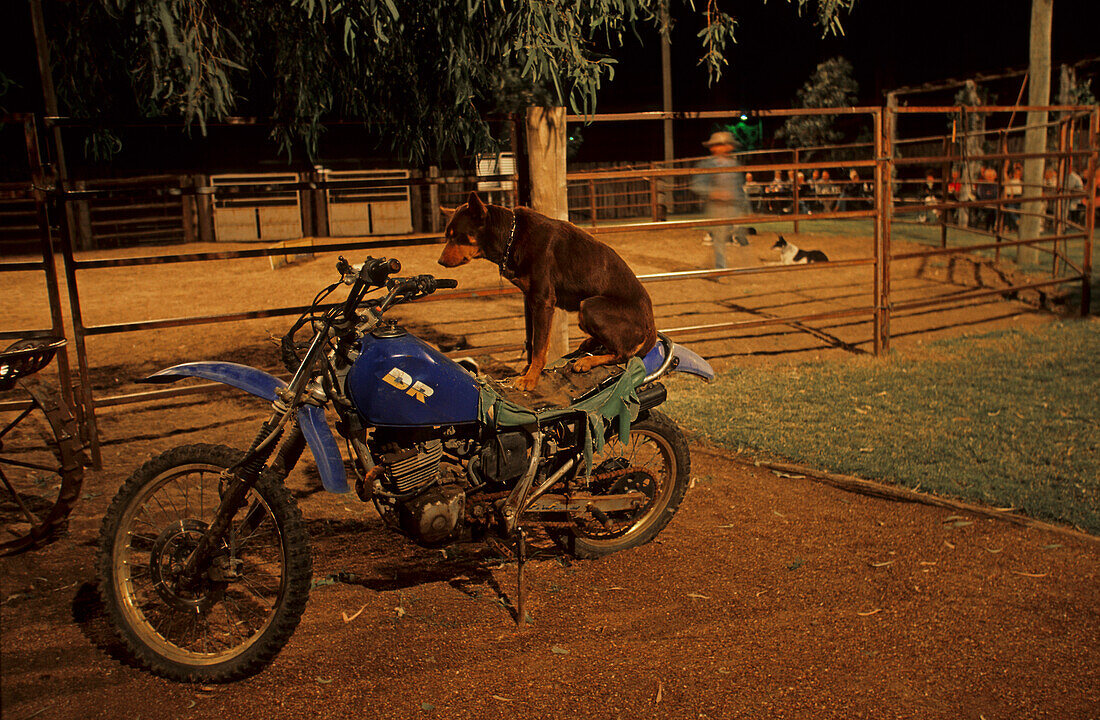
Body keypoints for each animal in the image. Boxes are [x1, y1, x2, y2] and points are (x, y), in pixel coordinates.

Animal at [437, 191, 655, 391]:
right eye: (447, 236)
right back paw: (589, 344)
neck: (511, 236)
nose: (440, 262)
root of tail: (651, 329)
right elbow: (534, 343)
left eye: (459, 236)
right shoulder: (530, 300)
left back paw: (587, 361)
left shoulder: (543, 301)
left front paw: (531, 379)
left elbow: (540, 347)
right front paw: (528, 370)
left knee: (623, 354)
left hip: (589, 306)